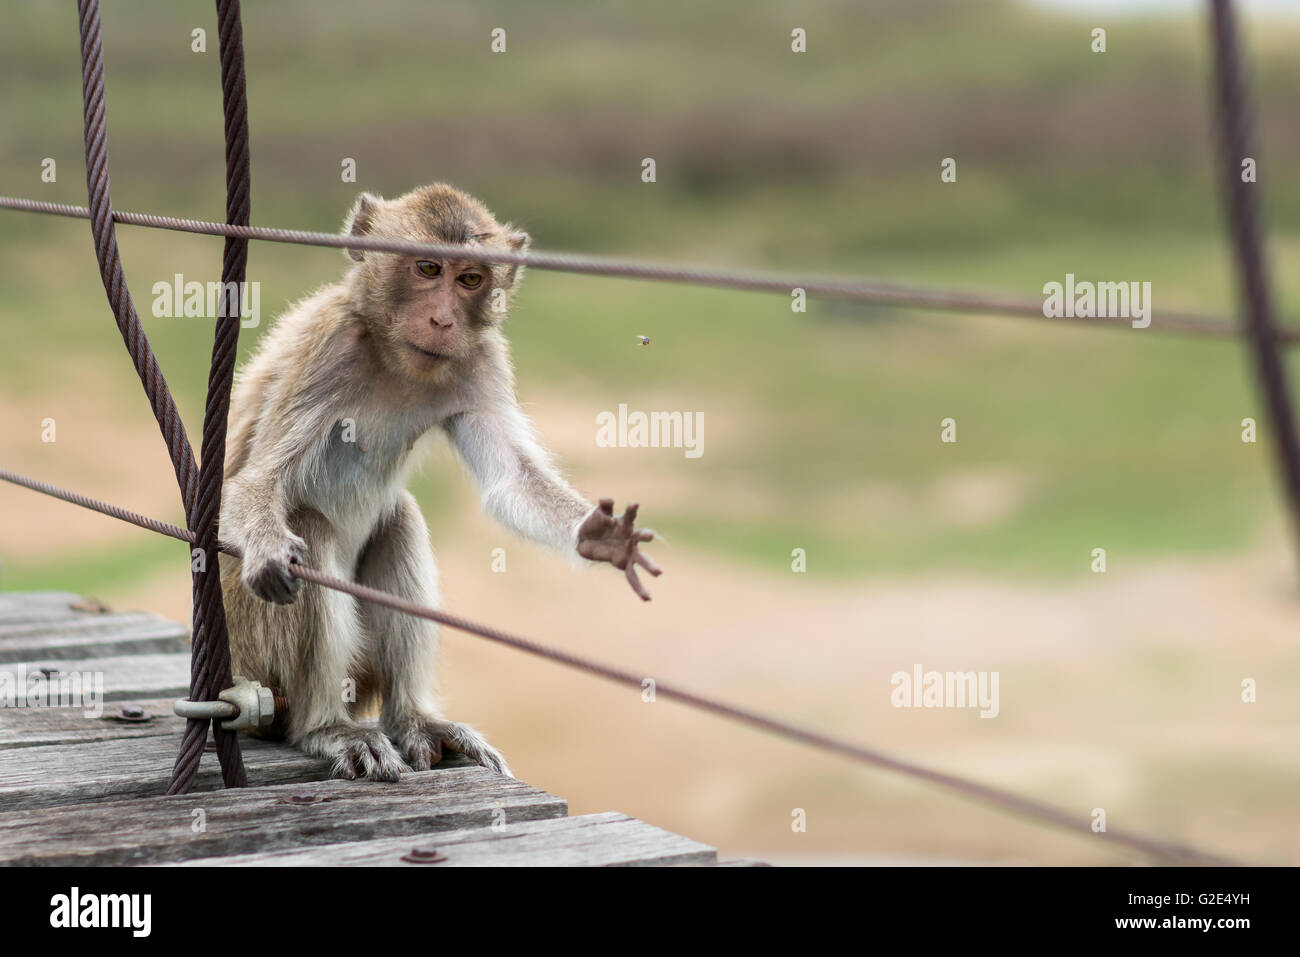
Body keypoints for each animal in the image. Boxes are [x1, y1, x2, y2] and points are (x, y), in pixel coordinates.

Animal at [217, 184, 661, 782]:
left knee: (398, 520)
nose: (444, 319)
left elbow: (511, 481)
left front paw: (601, 537)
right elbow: (257, 483)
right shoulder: (328, 353)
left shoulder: (480, 358)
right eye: (428, 268)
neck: (393, 358)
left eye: (470, 279)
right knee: (310, 525)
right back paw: (324, 726)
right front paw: (266, 548)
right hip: (253, 649)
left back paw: (414, 719)